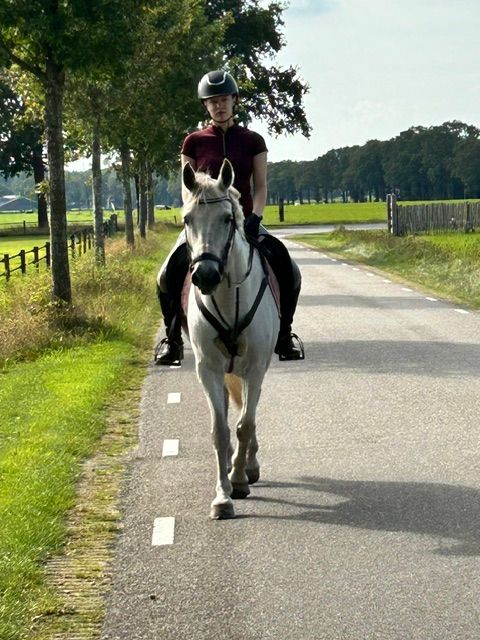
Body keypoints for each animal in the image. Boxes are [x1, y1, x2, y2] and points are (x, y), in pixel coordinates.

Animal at [182, 158, 280, 520]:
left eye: (227, 218)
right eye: (187, 219)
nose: (205, 275)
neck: (226, 296)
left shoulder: (254, 368)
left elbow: (244, 425)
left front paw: (238, 479)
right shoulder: (208, 368)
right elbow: (221, 429)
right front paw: (222, 496)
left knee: (249, 412)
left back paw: (248, 465)